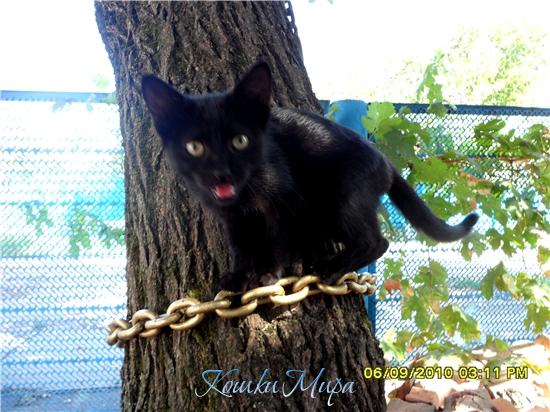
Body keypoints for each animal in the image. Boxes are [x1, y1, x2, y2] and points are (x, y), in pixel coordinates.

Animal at [141, 62, 478, 292]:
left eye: (240, 141)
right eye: (194, 147)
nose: (221, 172)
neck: (245, 196)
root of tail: (384, 161)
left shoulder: (287, 201)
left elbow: (278, 239)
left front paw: (268, 273)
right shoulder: (232, 218)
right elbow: (241, 247)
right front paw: (238, 276)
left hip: (339, 203)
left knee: (377, 241)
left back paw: (332, 266)